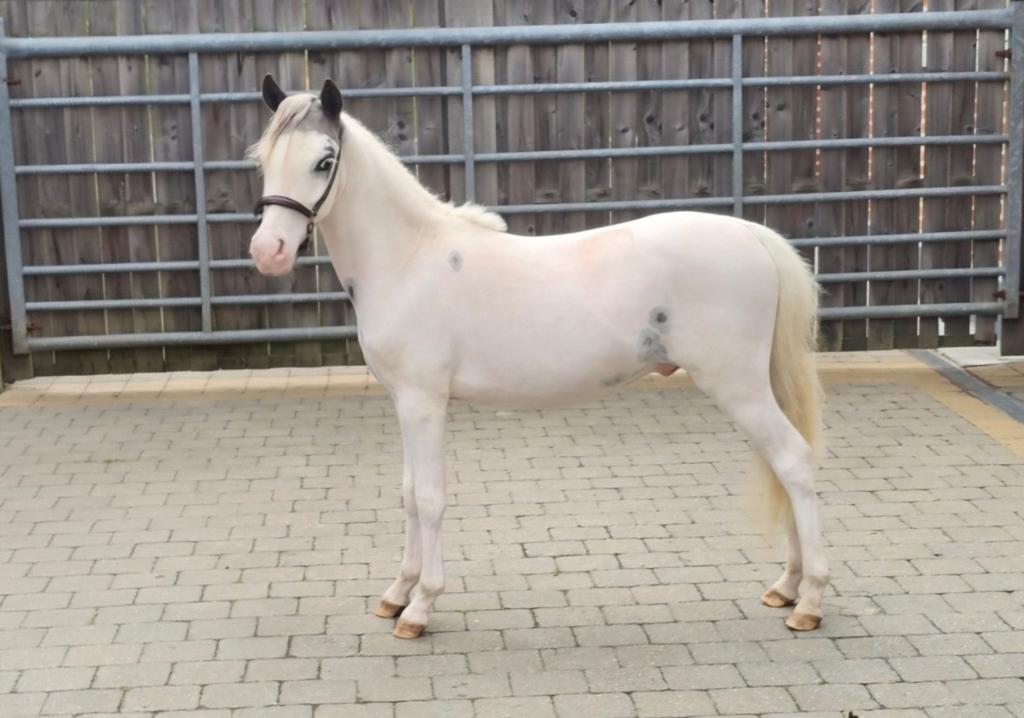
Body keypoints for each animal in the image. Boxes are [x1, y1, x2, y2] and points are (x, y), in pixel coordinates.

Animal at [247, 75, 829, 639]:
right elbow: (410, 494)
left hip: (739, 386)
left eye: (324, 161)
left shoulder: (423, 401)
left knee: (795, 463)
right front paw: (396, 594)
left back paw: (809, 601)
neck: (409, 258)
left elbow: (431, 498)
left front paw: (420, 607)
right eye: (263, 159)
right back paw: (787, 587)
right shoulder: (404, 402)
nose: (268, 251)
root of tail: (753, 234)